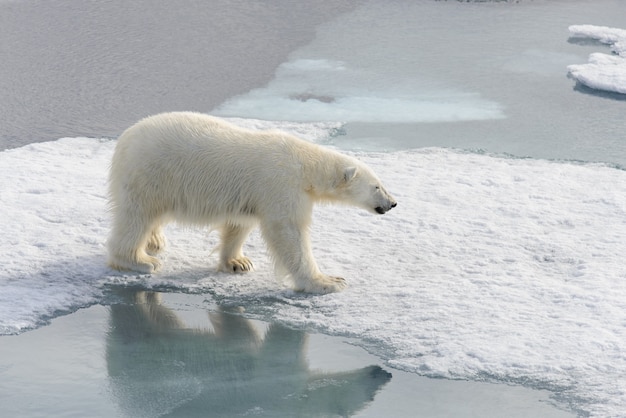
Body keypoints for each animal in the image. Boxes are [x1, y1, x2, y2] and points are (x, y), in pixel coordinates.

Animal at [105, 112, 392, 292]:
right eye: (377, 186)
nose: (393, 203)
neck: (304, 164)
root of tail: (123, 140)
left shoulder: (251, 195)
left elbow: (239, 224)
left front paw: (238, 263)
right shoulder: (281, 184)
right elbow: (289, 232)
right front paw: (328, 282)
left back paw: (155, 241)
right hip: (150, 173)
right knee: (137, 216)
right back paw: (140, 260)